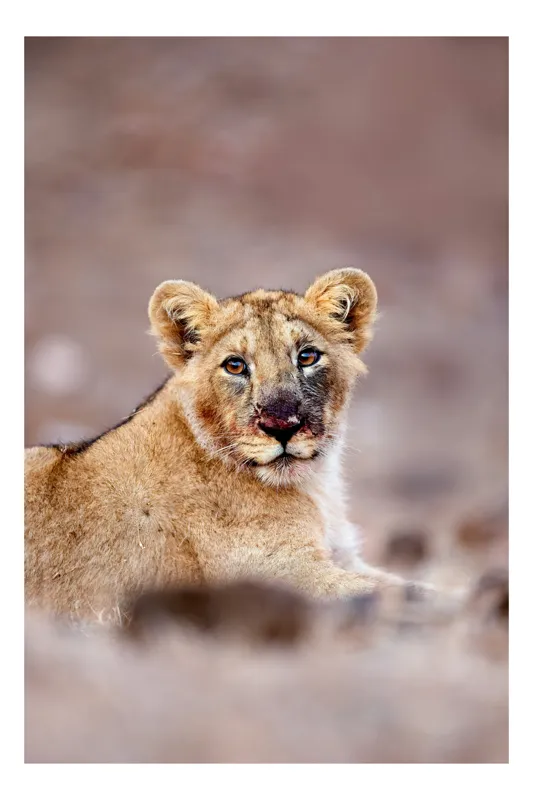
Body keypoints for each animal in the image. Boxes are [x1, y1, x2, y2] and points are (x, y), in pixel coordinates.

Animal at [25, 268, 413, 618]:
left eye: (307, 357)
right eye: (235, 365)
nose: (281, 426)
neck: (314, 484)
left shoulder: (343, 558)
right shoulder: (278, 572)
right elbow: (405, 593)